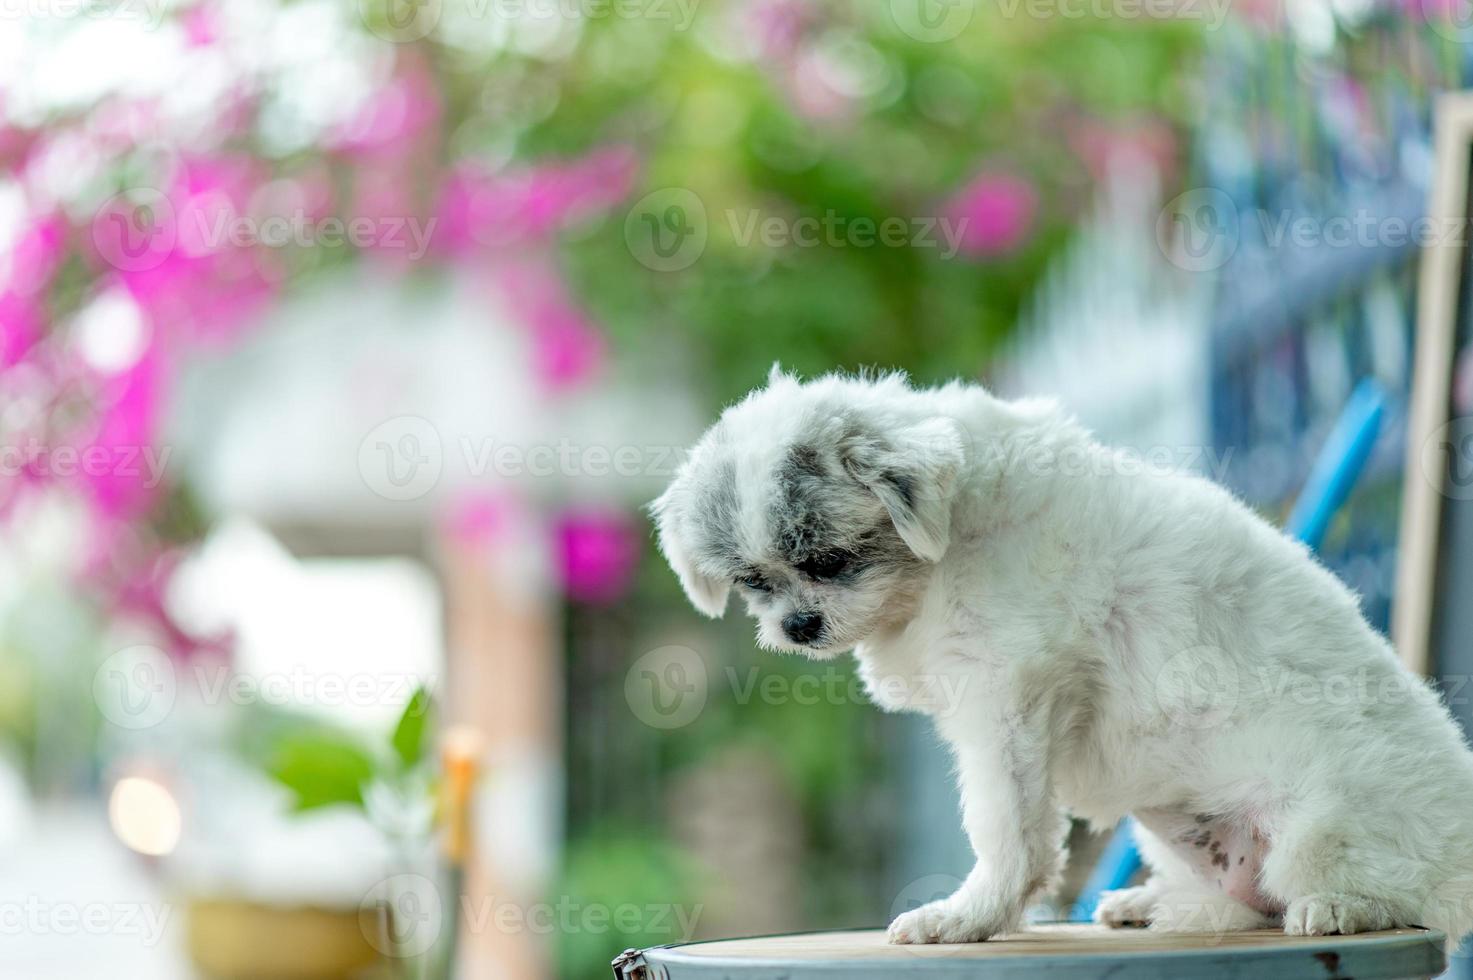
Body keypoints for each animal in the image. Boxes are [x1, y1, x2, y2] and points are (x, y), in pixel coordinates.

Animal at [656, 365, 1473, 943]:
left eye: (828, 561)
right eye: (754, 582)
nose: (797, 625)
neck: (956, 537)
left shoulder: (1009, 699)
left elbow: (1007, 829)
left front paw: (971, 915)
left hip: (1320, 829)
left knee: (1395, 899)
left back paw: (1343, 907)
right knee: (1246, 904)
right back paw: (1150, 901)